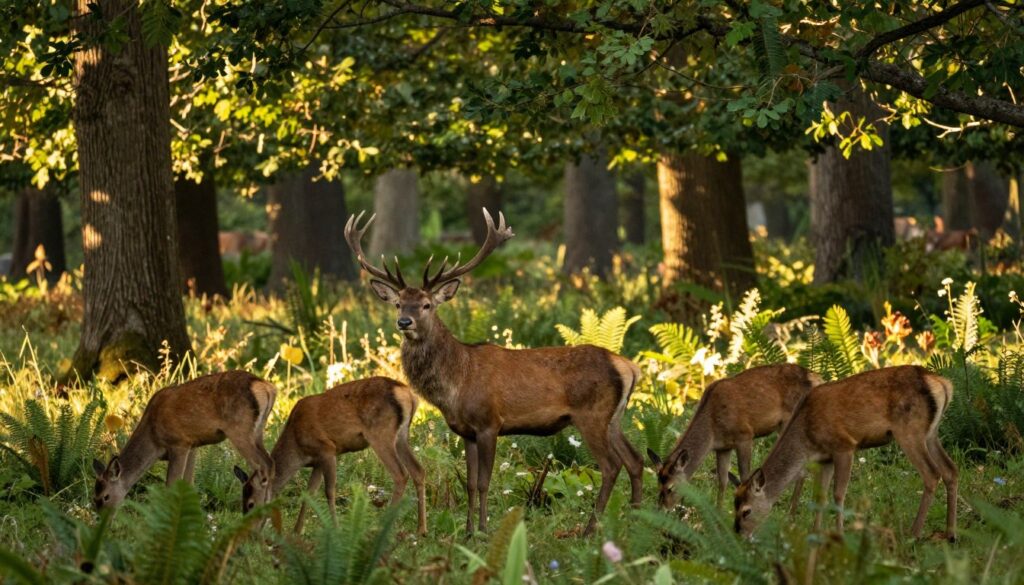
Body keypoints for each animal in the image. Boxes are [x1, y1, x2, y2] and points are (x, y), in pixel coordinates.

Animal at [92, 370, 276, 510]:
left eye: (105, 496)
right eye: (94, 497)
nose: (101, 520)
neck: (154, 440)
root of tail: (268, 388)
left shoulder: (179, 443)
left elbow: (172, 484)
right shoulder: (193, 444)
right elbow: (189, 484)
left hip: (239, 430)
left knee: (264, 466)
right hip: (257, 431)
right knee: (269, 463)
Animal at [233, 376, 427, 534]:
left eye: (251, 504)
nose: (249, 532)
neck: (297, 449)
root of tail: (408, 394)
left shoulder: (327, 449)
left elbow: (329, 491)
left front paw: (335, 528)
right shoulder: (317, 461)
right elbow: (309, 492)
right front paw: (297, 530)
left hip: (381, 434)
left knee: (401, 474)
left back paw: (383, 526)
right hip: (401, 437)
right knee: (418, 470)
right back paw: (421, 529)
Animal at [345, 208, 645, 535]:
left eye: (426, 305)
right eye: (399, 303)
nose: (404, 322)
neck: (456, 384)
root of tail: (628, 365)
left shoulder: (490, 422)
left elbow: (484, 482)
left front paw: (484, 529)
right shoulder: (466, 431)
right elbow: (469, 484)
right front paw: (467, 530)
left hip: (592, 415)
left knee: (611, 465)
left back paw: (591, 528)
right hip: (614, 418)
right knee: (636, 460)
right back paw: (636, 519)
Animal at [647, 364, 823, 509]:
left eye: (671, 487)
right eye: (657, 484)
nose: (662, 509)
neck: (712, 429)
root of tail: (818, 379)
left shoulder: (745, 435)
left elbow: (745, 476)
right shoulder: (723, 447)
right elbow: (722, 480)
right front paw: (718, 513)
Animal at [733, 365, 958, 541]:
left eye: (746, 511)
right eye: (734, 505)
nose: (738, 535)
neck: (807, 437)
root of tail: (942, 383)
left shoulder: (844, 445)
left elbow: (839, 493)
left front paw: (839, 533)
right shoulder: (824, 459)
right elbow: (820, 495)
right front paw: (815, 532)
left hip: (910, 430)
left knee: (932, 473)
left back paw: (914, 533)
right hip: (931, 434)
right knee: (950, 469)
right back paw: (950, 534)